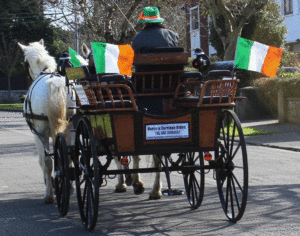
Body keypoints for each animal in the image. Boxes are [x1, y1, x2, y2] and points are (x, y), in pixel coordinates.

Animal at [18, 39, 75, 204]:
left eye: (25, 63)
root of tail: (54, 85)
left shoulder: (37, 134)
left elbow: (44, 161)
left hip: (41, 132)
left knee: (48, 161)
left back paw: (49, 194)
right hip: (70, 127)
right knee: (69, 156)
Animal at [81, 42, 162, 199]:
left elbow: (123, 155)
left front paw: (131, 182)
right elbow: (121, 154)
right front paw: (127, 180)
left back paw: (149, 187)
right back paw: (154, 188)